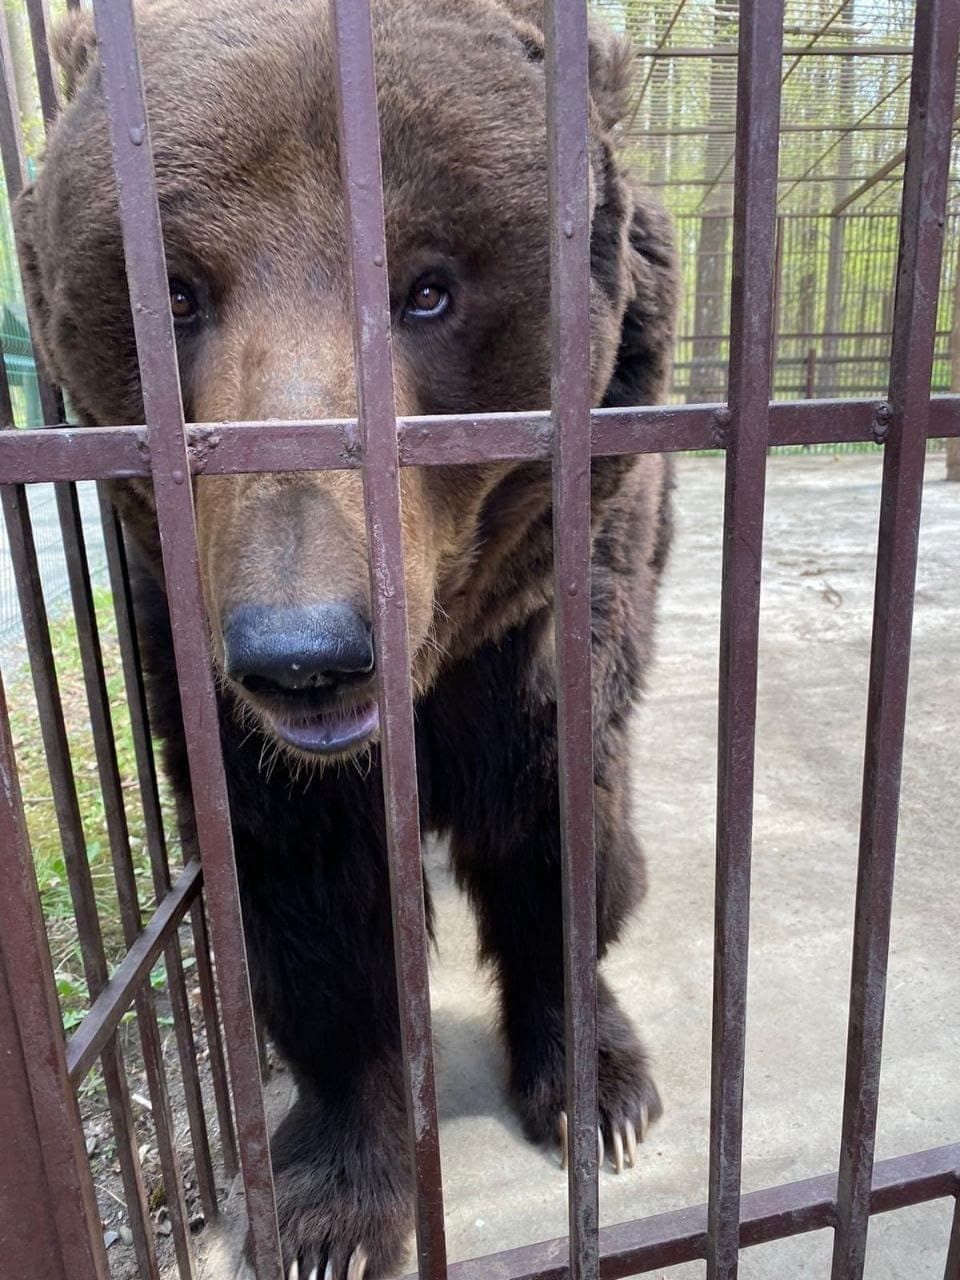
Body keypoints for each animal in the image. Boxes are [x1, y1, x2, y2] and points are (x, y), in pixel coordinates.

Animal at [15, 0, 678, 1275]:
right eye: (174, 292)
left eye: (429, 288)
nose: (306, 649)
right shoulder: (209, 672)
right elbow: (313, 904)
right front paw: (330, 1203)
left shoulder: (549, 623)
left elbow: (557, 832)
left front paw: (597, 1089)